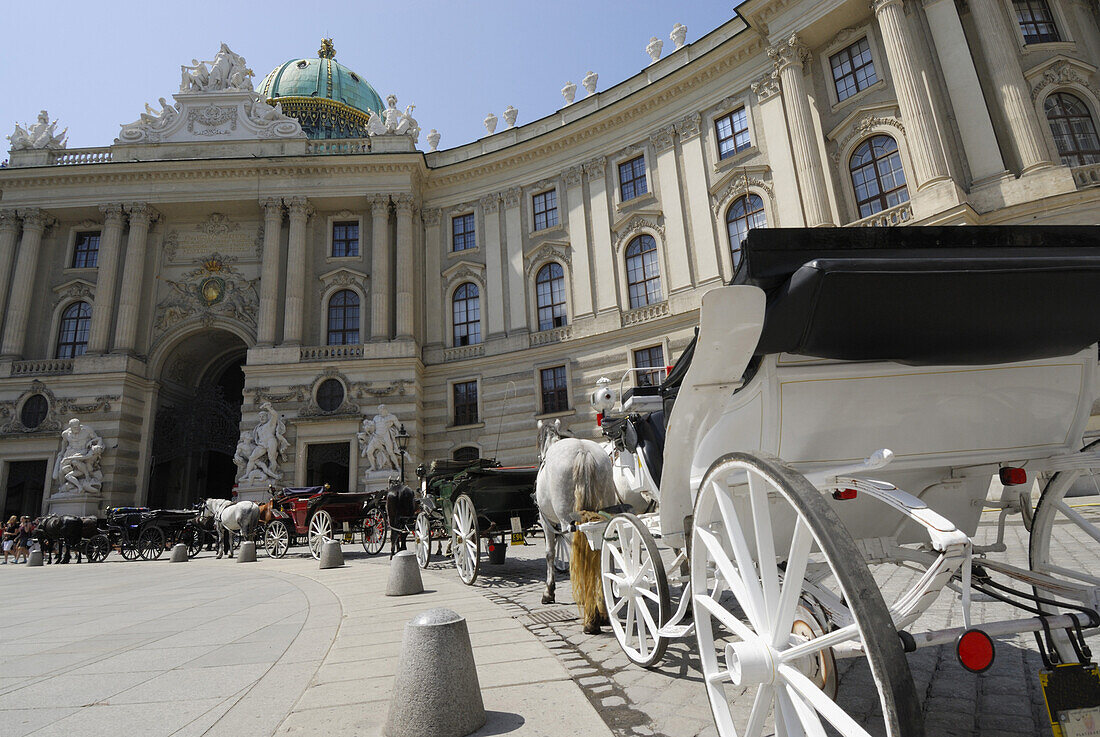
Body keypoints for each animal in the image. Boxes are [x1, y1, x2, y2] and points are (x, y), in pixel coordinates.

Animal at [536, 422, 624, 633]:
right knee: (599, 555)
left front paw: (548, 592)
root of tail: (583, 452)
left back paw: (590, 615)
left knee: (580, 556)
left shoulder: (546, 521)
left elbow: (550, 554)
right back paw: (601, 608)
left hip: (567, 522)